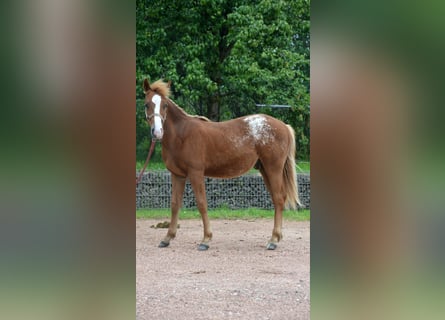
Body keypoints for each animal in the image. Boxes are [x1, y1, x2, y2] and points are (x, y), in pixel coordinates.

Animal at [144, 79, 300, 250]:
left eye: (165, 105)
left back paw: (273, 240)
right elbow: (174, 204)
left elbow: (202, 203)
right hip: (265, 169)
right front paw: (167, 238)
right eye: (147, 104)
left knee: (278, 199)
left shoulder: (196, 173)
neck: (182, 135)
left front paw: (206, 240)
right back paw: (277, 237)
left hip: (273, 169)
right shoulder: (177, 175)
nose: (157, 132)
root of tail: (284, 126)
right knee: (277, 199)